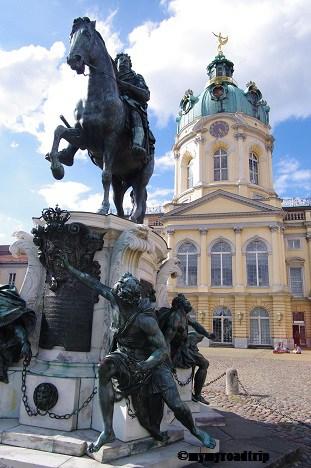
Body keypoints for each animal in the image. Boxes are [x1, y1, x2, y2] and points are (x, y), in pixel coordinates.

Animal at [47, 17, 155, 223]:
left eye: (87, 34)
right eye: (71, 35)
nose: (73, 60)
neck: (97, 97)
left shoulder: (110, 141)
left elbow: (104, 175)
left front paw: (102, 208)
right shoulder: (83, 136)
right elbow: (59, 130)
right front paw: (57, 167)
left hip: (143, 173)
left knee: (139, 196)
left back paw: (134, 219)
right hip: (121, 179)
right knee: (119, 199)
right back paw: (121, 217)